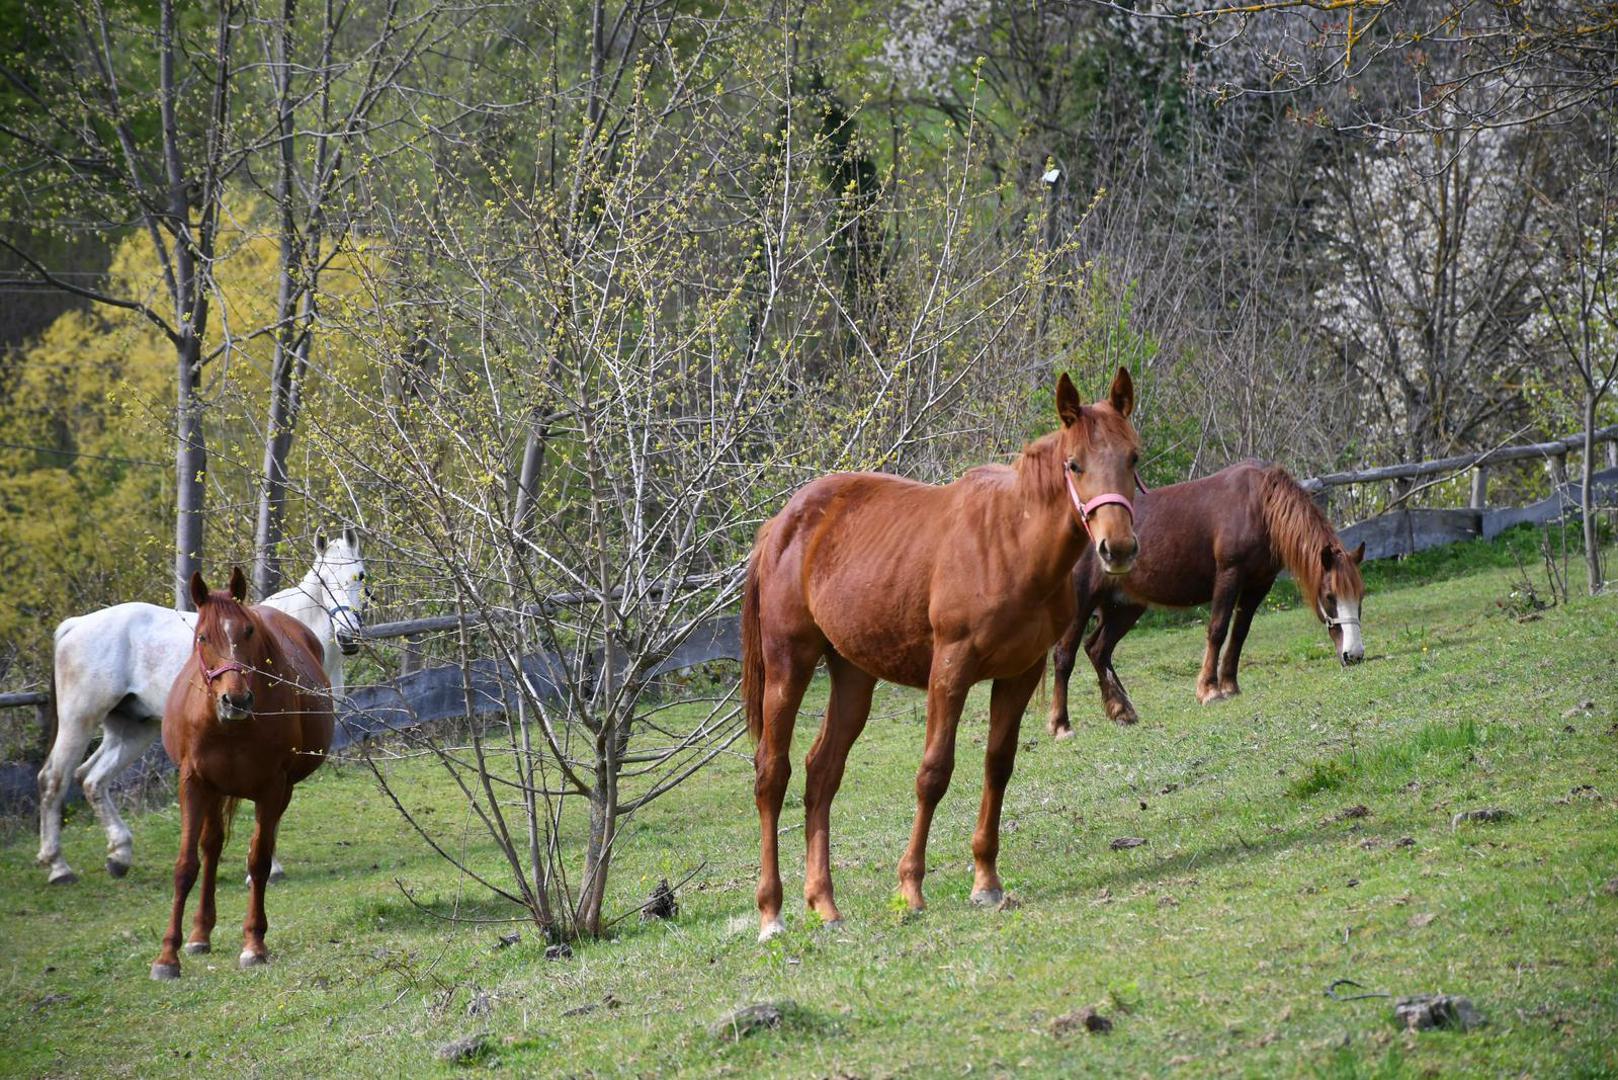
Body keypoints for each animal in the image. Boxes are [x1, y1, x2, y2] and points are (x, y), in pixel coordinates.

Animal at [35, 531, 370, 887]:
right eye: (323, 579)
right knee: (54, 779)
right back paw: (59, 867)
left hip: (134, 729)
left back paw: (119, 856)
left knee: (92, 779)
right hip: (79, 722)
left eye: (361, 575)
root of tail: (74, 625)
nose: (348, 635)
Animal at [150, 569, 333, 984]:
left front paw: (254, 944)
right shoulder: (194, 784)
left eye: (248, 631)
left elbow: (259, 860)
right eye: (203, 636)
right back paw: (200, 934)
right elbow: (186, 865)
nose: (236, 701)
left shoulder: (272, 788)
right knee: (212, 847)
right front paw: (168, 956)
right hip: (216, 791)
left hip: (280, 792)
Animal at [741, 369, 1145, 939]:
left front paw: (986, 881)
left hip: (854, 676)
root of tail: (780, 525)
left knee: (822, 773)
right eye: (1074, 464)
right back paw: (771, 913)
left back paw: (825, 903)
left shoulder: (1020, 674)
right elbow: (933, 773)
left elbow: (998, 766)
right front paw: (911, 888)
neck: (1011, 543)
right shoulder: (950, 671)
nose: (1118, 548)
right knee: (772, 776)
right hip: (788, 667)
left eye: (1133, 457)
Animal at [1048, 459, 1365, 738]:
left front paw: (1229, 685)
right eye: (1329, 596)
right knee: (1065, 655)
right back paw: (1061, 725)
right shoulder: (1229, 574)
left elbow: (1239, 634)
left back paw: (1121, 710)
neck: (1257, 505)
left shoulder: (1258, 585)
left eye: (1360, 597)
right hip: (1084, 603)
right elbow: (1218, 630)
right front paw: (1210, 690)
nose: (1354, 655)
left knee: (1098, 650)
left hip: (1125, 606)